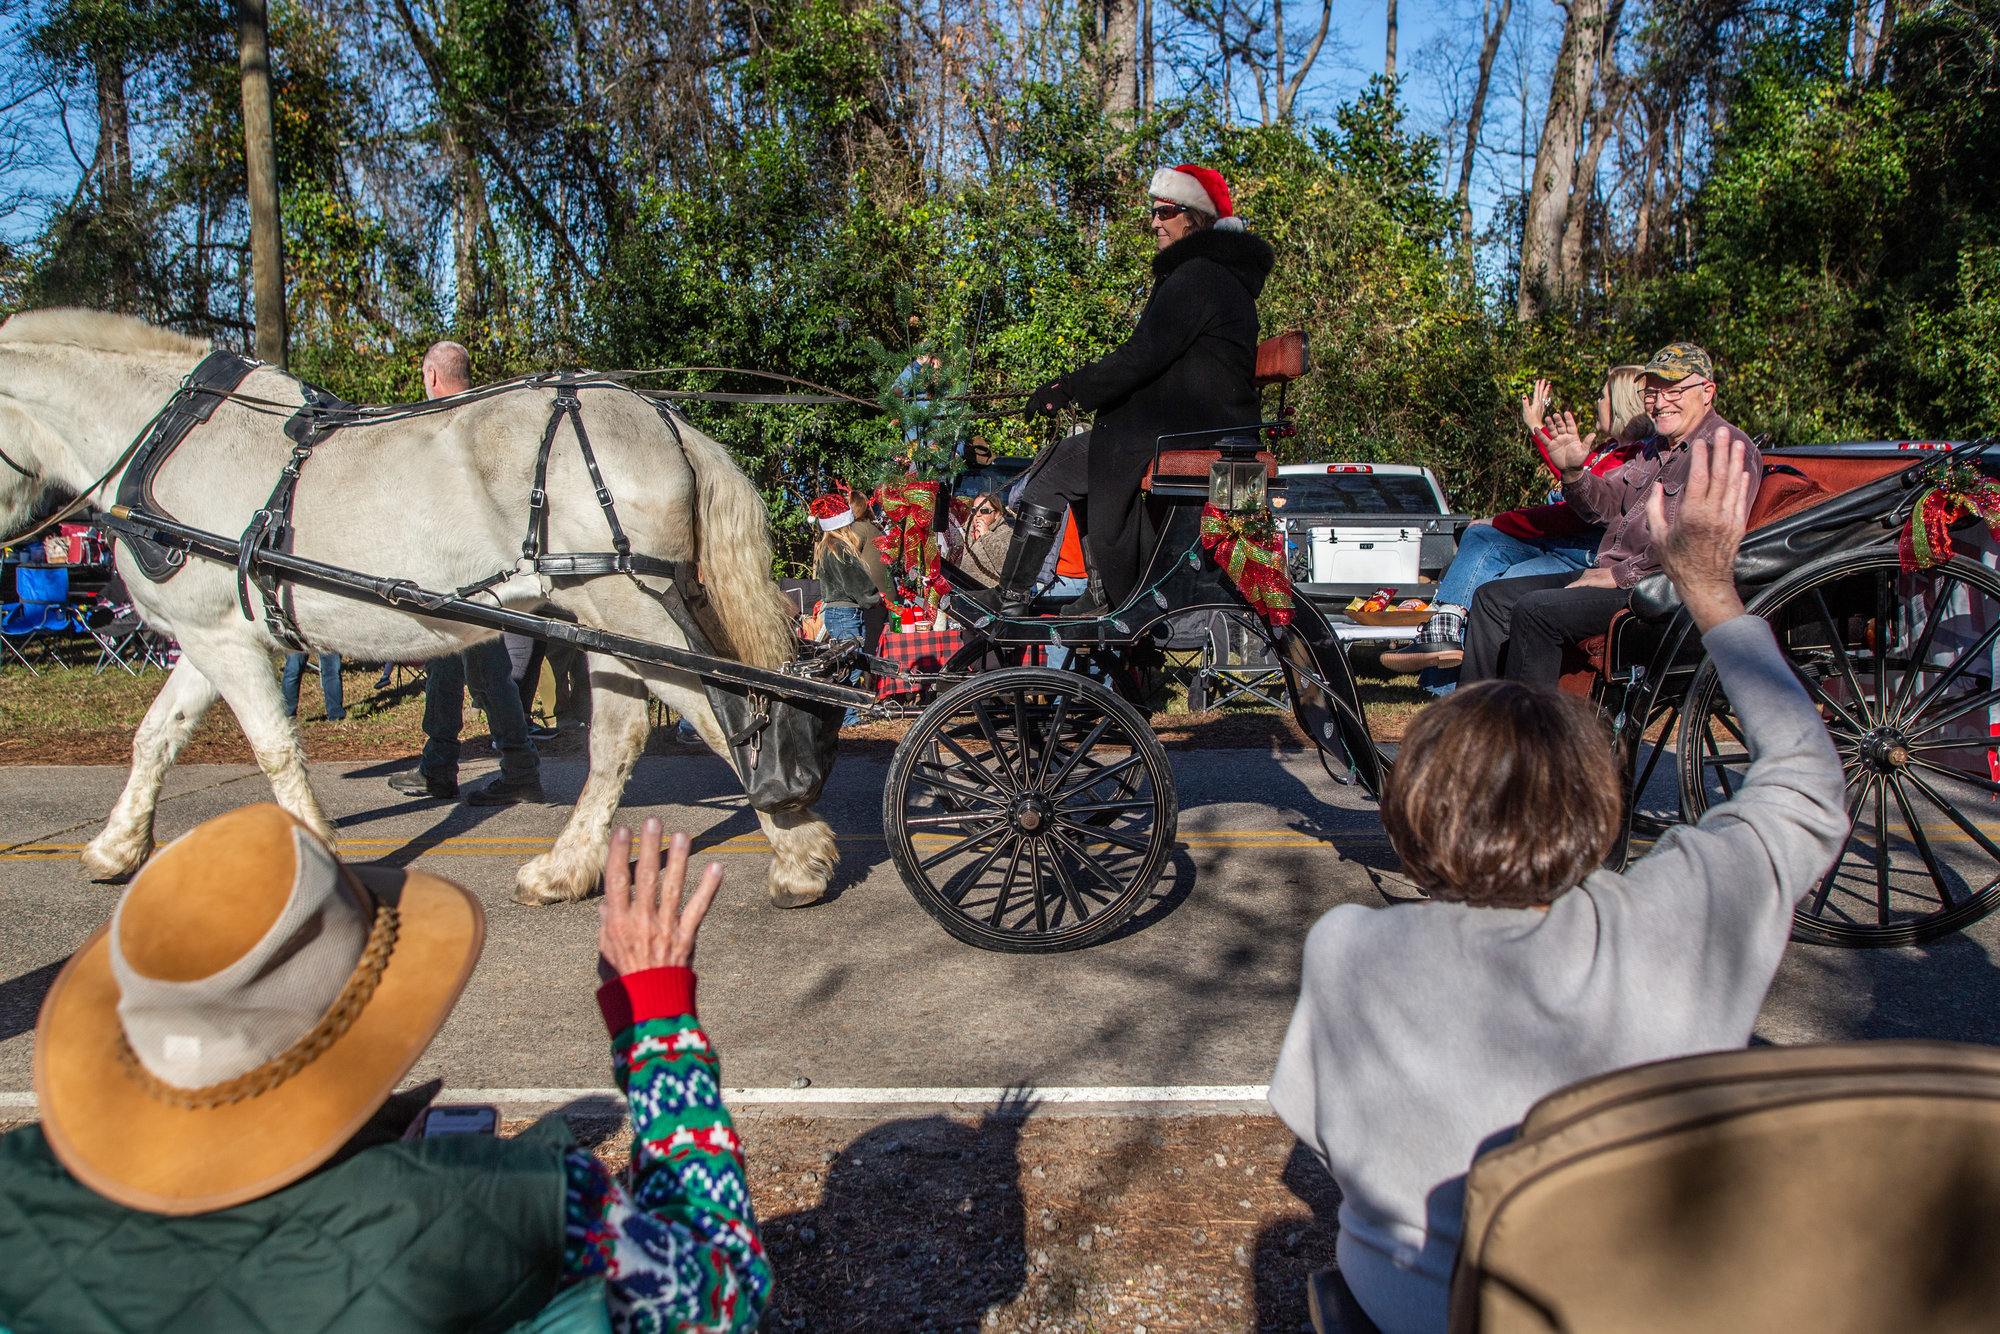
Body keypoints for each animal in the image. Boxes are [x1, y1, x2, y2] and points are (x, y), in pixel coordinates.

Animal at [0, 312, 840, 908]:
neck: (166, 440)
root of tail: (665, 418)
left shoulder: (223, 641)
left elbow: (274, 749)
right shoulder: (212, 635)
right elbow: (156, 737)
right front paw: (116, 849)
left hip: (628, 607)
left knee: (720, 711)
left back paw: (798, 857)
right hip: (606, 617)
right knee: (621, 738)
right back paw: (567, 870)